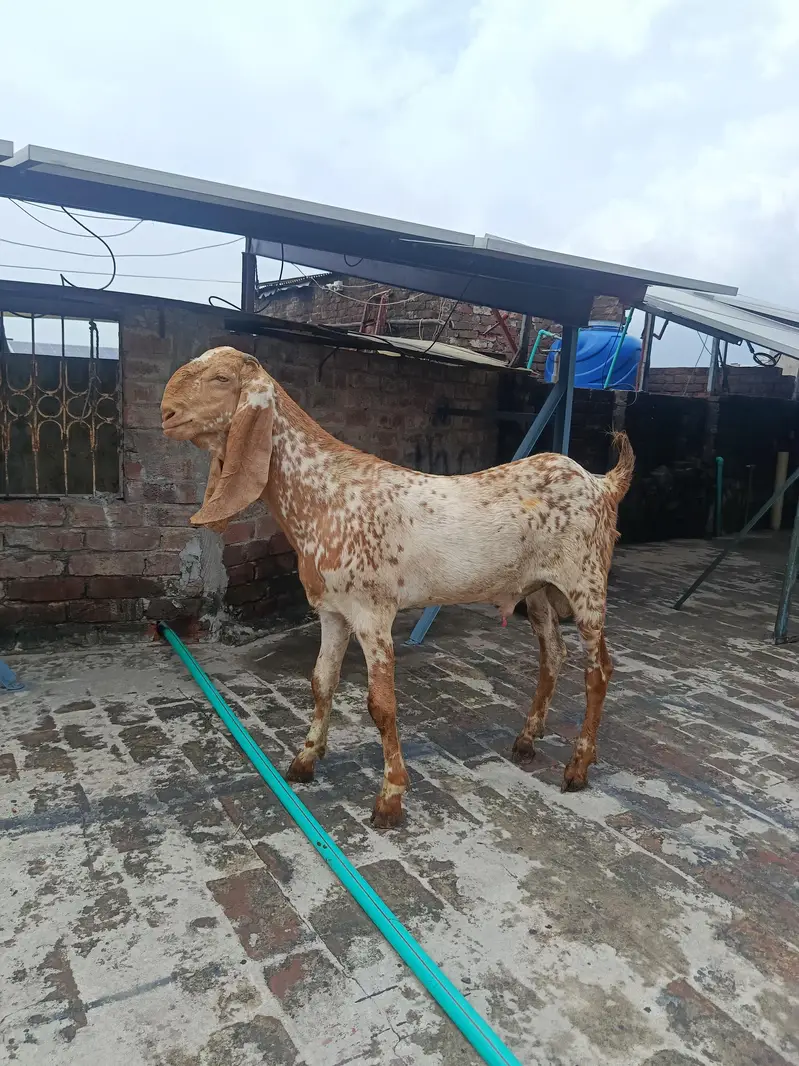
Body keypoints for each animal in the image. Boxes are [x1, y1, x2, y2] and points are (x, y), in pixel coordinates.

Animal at [161, 346, 634, 828]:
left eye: (221, 378)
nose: (167, 414)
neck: (325, 493)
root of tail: (603, 483)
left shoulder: (372, 613)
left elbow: (380, 704)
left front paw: (390, 796)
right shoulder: (333, 610)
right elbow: (321, 681)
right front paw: (305, 760)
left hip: (586, 584)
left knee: (599, 671)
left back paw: (577, 767)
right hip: (538, 590)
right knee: (552, 655)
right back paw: (526, 739)